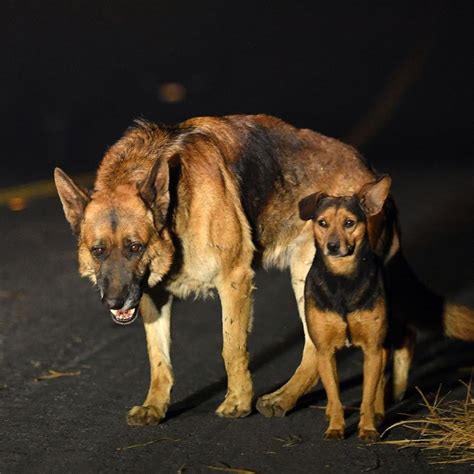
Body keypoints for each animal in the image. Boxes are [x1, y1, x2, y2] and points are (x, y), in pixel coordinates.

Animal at [302, 176, 390, 442]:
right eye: (322, 223)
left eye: (349, 223)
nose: (332, 246)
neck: (342, 279)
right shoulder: (324, 350)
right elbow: (334, 393)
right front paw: (336, 427)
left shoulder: (373, 349)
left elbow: (368, 396)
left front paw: (368, 428)